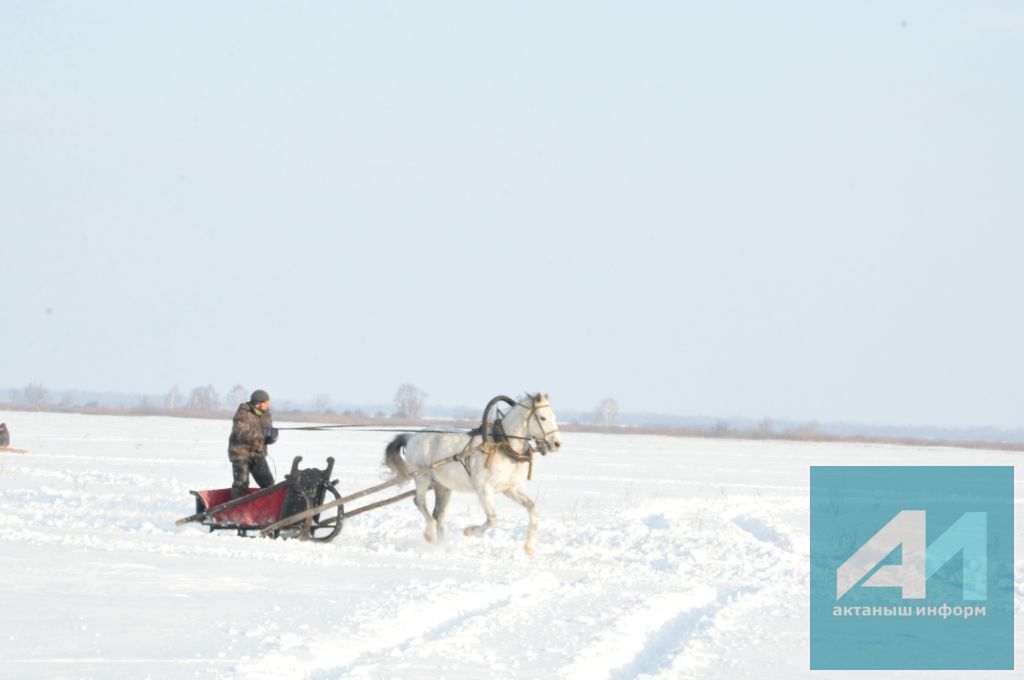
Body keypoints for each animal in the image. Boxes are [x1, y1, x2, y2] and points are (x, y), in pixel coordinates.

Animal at [385, 393, 565, 553]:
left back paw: (443, 546)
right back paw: (430, 534)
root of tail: (412, 436)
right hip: (422, 476)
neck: (501, 445)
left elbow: (532, 507)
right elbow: (492, 518)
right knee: (420, 502)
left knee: (439, 516)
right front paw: (470, 531)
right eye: (542, 417)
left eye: (554, 416)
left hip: (443, 486)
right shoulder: (484, 489)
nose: (557, 444)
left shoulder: (510, 488)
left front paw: (529, 546)